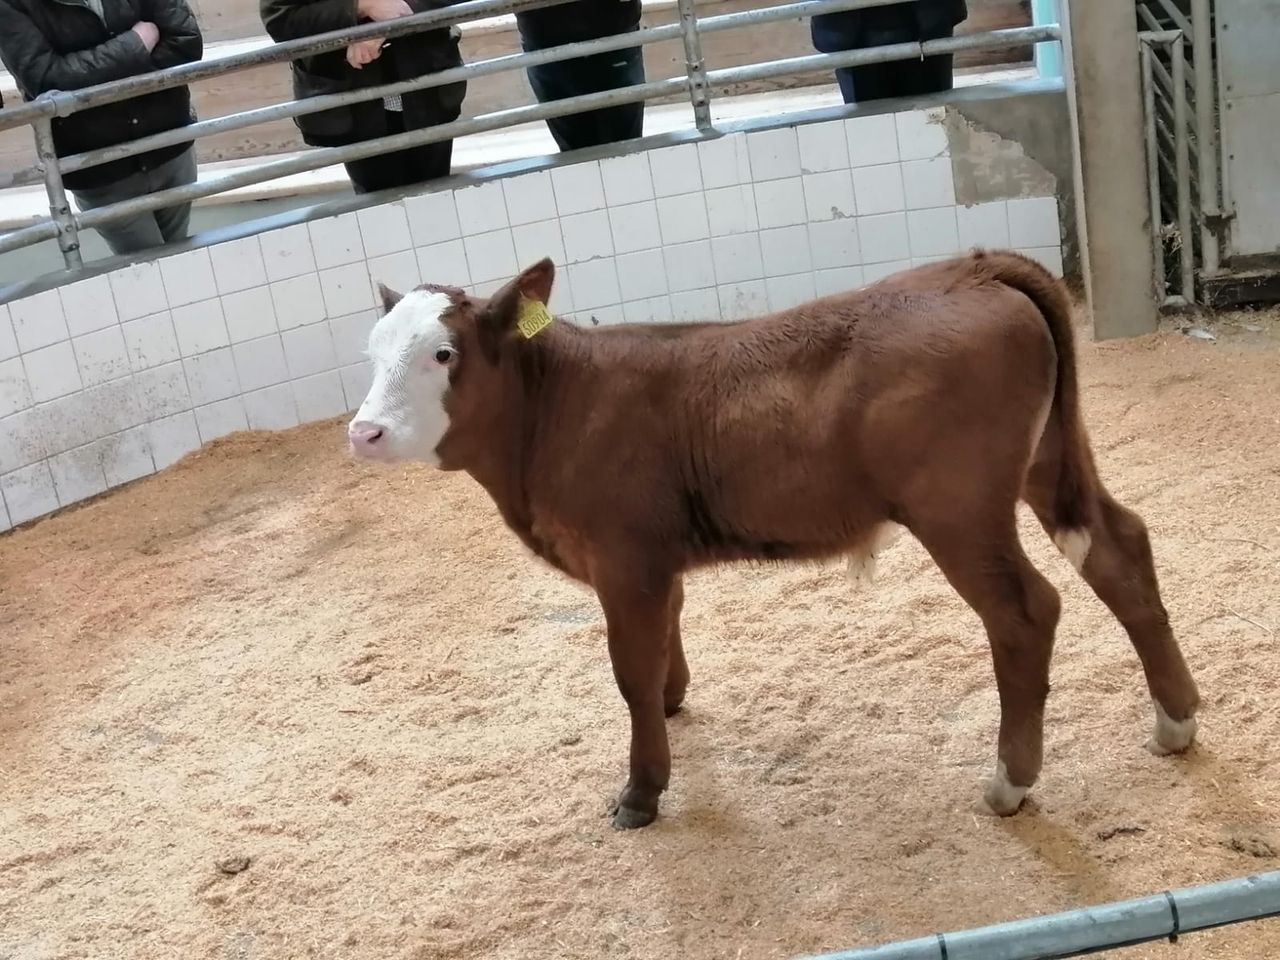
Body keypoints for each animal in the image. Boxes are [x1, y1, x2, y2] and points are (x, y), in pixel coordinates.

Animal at [347, 249, 1201, 830]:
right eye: (372, 353)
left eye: (443, 354)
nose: (364, 432)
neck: (556, 408)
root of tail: (971, 269)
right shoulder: (656, 561)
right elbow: (664, 642)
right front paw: (675, 702)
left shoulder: (623, 558)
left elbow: (629, 673)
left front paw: (642, 791)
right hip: (1051, 460)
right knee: (1119, 548)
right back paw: (1177, 721)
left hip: (958, 508)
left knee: (1024, 612)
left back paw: (1011, 782)